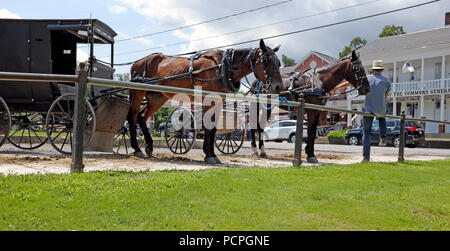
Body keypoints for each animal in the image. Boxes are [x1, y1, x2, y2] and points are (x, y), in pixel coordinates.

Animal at [126, 39, 282, 165]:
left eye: (278, 62)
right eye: (267, 61)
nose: (278, 86)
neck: (222, 67)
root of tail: (137, 63)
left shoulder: (218, 102)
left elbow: (213, 128)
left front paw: (212, 154)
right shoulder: (208, 100)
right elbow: (208, 127)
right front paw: (208, 155)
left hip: (157, 97)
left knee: (142, 117)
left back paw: (149, 147)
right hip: (138, 92)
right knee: (132, 116)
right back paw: (137, 149)